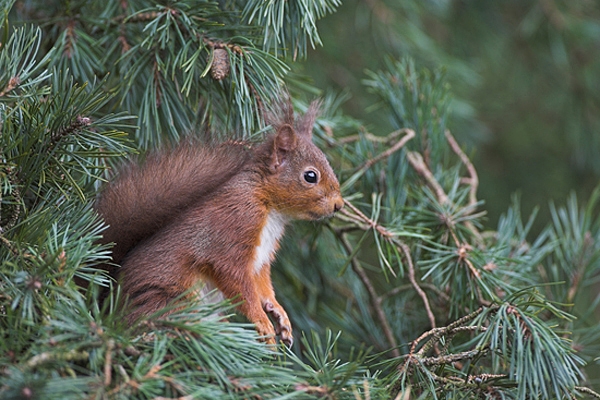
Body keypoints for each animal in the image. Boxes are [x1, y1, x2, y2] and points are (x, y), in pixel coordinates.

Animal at [96, 98, 344, 346]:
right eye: (310, 176)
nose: (339, 205)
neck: (271, 210)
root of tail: (109, 306)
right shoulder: (232, 229)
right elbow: (239, 285)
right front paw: (262, 321)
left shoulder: (261, 262)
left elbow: (263, 287)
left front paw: (279, 314)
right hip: (170, 298)